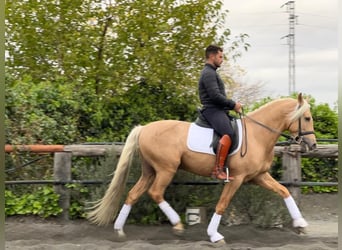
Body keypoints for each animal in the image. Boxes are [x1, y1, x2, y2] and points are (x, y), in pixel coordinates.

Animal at [87, 93, 316, 242]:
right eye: (306, 118)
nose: (312, 146)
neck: (258, 134)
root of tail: (144, 128)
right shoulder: (237, 179)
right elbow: (222, 204)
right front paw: (214, 235)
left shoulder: (258, 176)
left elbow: (284, 191)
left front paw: (301, 225)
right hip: (165, 170)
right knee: (155, 193)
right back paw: (177, 225)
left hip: (150, 171)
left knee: (133, 194)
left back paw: (119, 231)